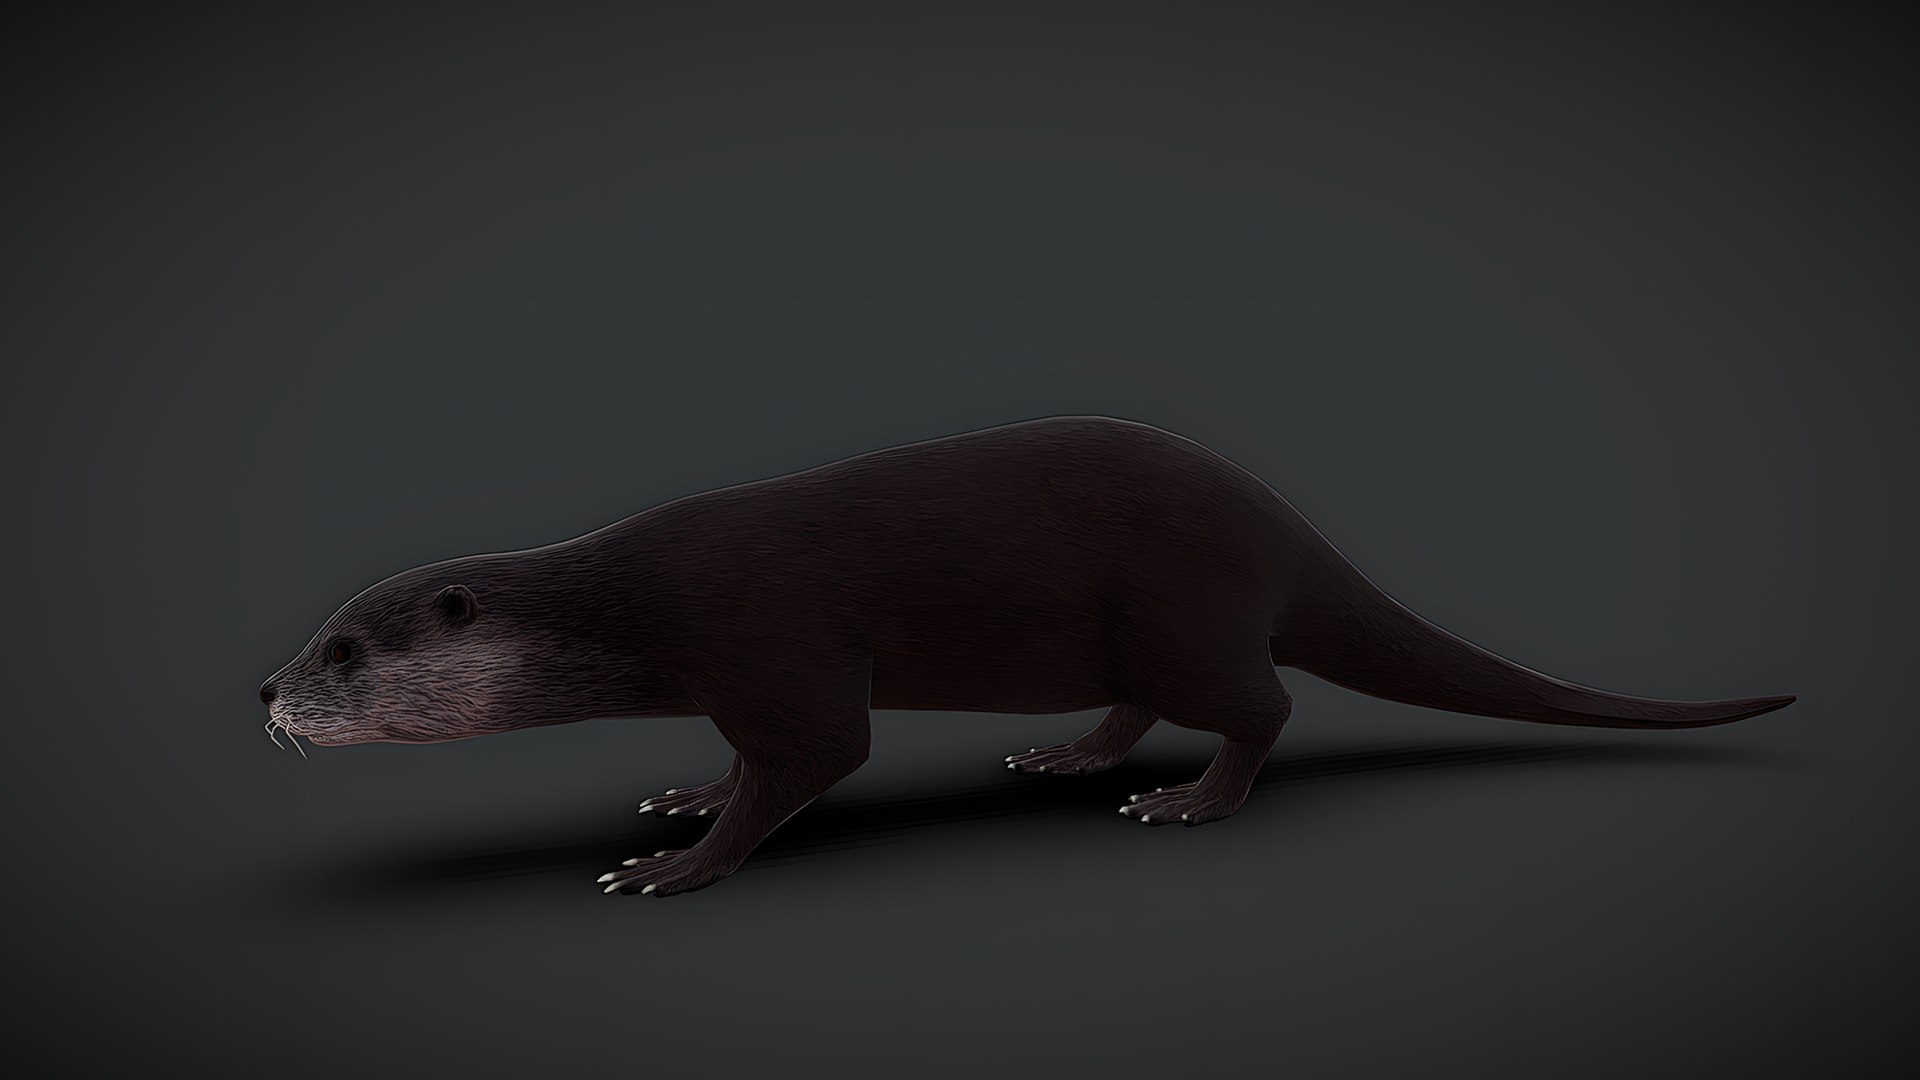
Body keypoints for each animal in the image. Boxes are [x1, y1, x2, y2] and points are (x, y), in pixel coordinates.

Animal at [258, 416, 1794, 897]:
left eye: (344, 646)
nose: (264, 689)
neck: (643, 597)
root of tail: (1287, 529)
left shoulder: (772, 641)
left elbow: (819, 757)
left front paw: (674, 865)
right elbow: (743, 763)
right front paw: (684, 796)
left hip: (1186, 617)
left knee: (1263, 705)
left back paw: (1186, 801)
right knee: (1149, 703)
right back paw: (1067, 752)